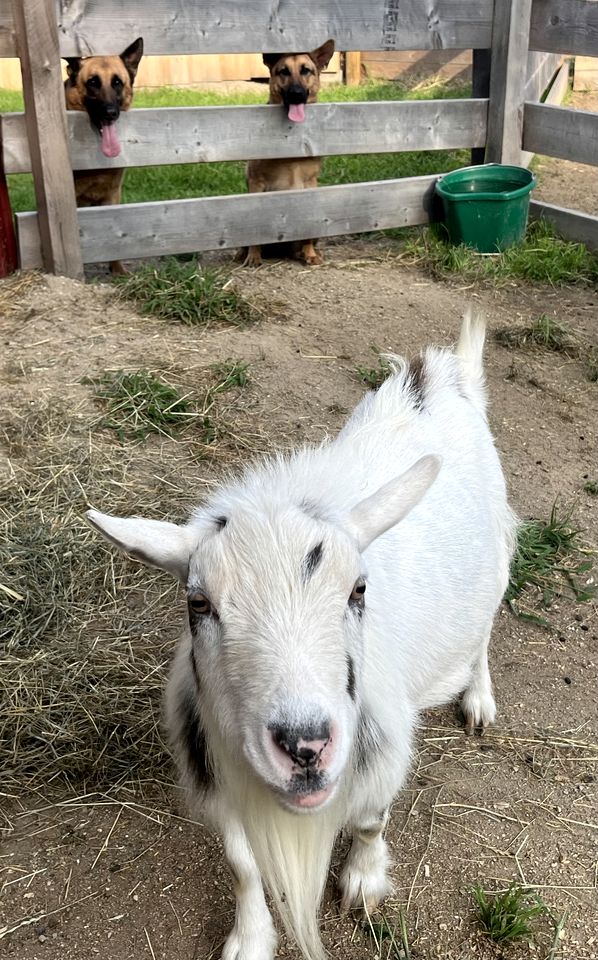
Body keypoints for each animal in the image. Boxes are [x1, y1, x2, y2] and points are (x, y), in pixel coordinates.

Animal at [86, 312, 516, 960]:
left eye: (358, 590)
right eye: (198, 603)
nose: (305, 747)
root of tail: (445, 372)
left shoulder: (380, 752)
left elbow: (369, 821)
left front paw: (363, 882)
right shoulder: (220, 773)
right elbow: (241, 862)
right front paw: (249, 938)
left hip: (497, 557)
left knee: (484, 629)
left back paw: (479, 700)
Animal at [244, 39, 338, 268]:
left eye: (306, 70)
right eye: (283, 71)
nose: (296, 93)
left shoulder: (310, 184)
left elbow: (307, 235)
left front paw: (310, 253)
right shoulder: (256, 184)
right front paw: (253, 255)